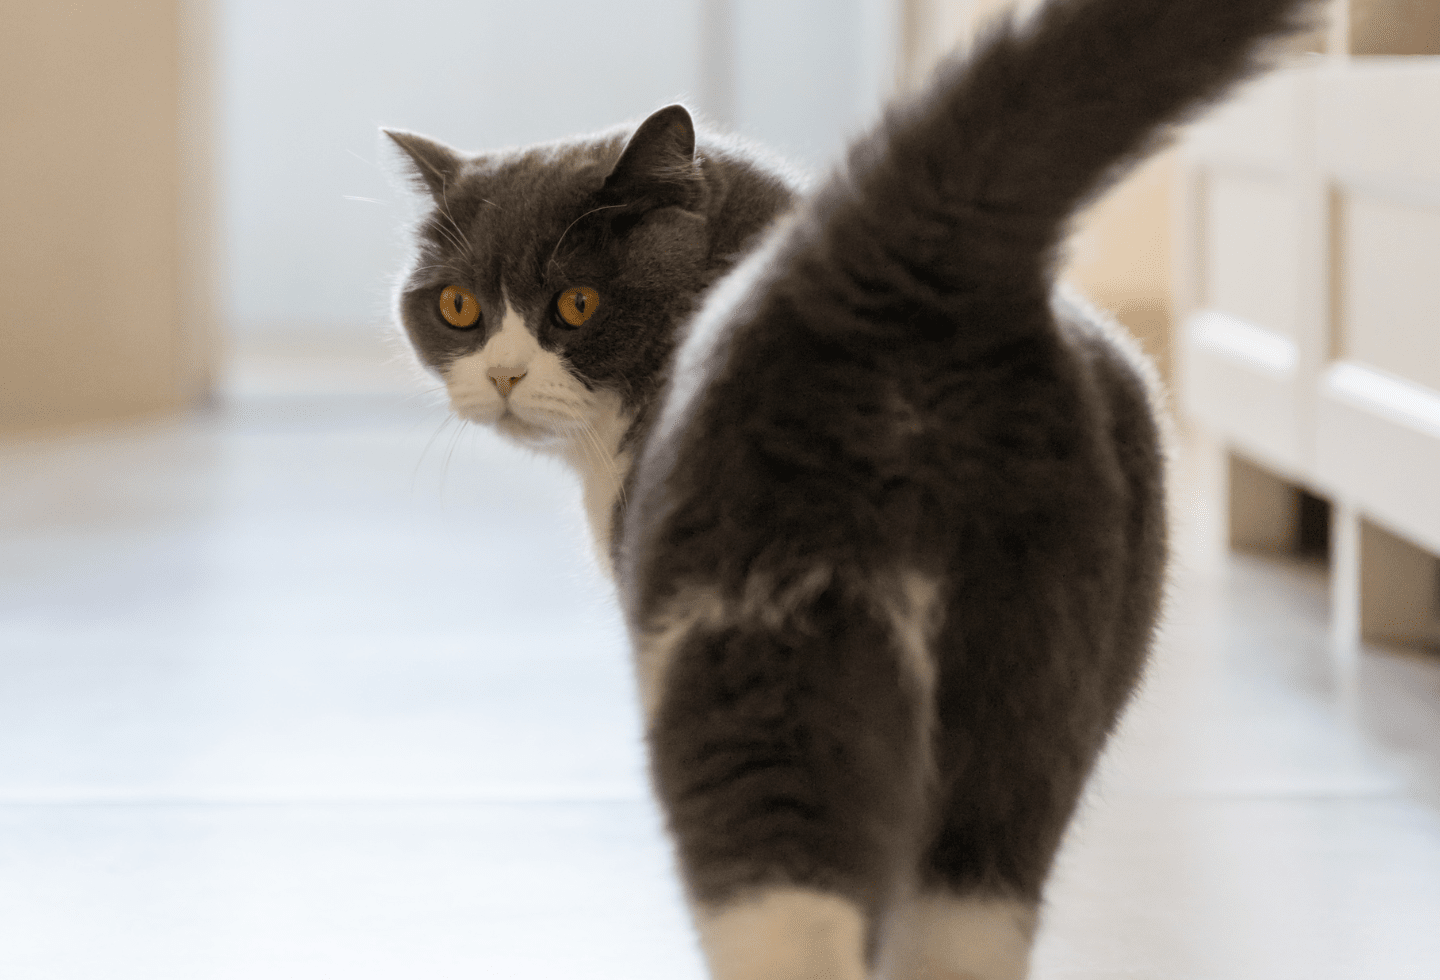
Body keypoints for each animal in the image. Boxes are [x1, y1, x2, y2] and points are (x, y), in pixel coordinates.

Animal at [388, 0, 1313, 972]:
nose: (502, 377)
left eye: (575, 304)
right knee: (971, 897)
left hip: (755, 643)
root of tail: (903, 257)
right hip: (1040, 671)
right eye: (458, 307)